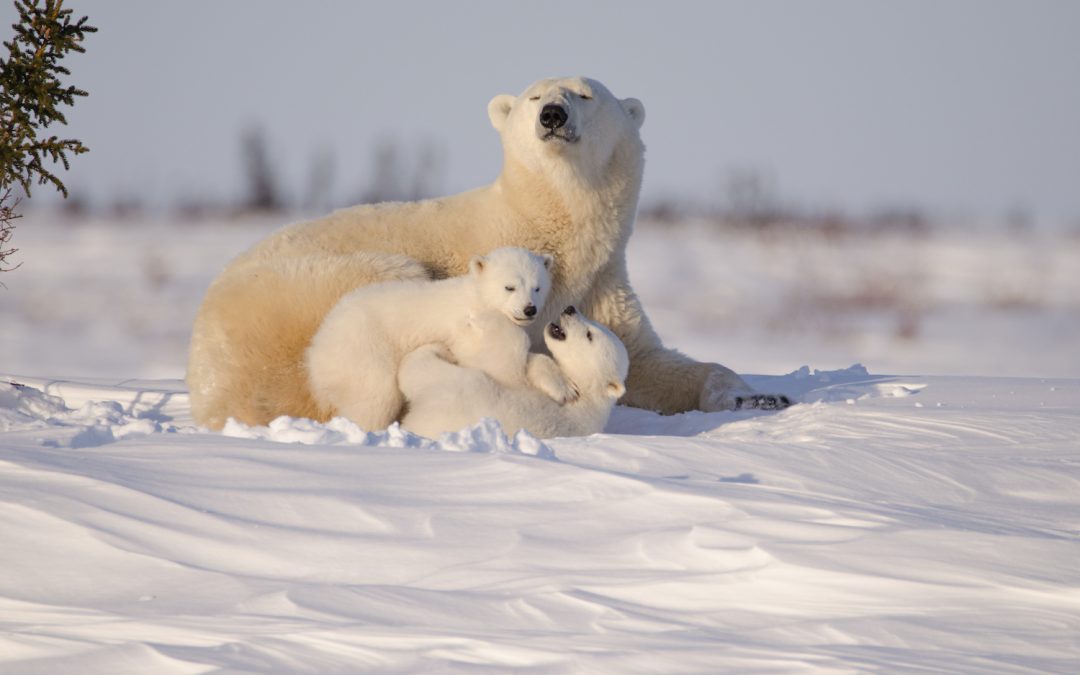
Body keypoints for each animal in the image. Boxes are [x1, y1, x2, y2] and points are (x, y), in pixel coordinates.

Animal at [306, 247, 573, 431]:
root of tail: (317, 348)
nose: (529, 309)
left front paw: (564, 387)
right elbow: (489, 361)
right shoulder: (467, 328)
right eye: (509, 287)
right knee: (374, 397)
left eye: (537, 287)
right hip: (363, 350)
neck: (477, 299)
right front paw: (563, 388)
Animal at [399, 306, 629, 439]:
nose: (570, 309)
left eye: (590, 335)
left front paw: (482, 316)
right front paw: (559, 383)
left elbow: (505, 353)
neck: (588, 394)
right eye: (593, 321)